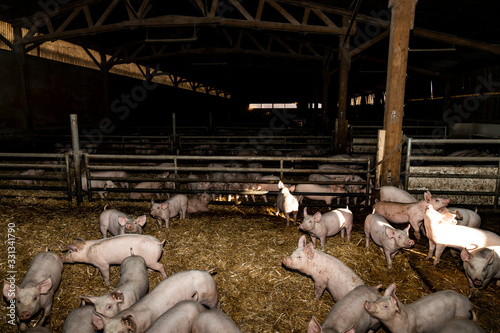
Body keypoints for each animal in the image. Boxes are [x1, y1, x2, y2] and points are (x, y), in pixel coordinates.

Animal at [92, 270, 221, 332]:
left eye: (109, 306)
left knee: (216, 304)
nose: (94, 325)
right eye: (105, 332)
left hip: (211, 296)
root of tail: (207, 272)